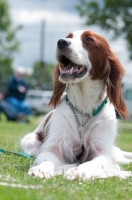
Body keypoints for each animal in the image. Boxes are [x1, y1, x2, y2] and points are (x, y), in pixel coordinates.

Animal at [20, 30, 132, 180]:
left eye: (89, 39)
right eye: (68, 37)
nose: (61, 42)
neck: (84, 106)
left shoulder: (102, 152)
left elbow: (94, 163)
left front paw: (79, 171)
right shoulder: (55, 147)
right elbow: (47, 159)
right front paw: (41, 169)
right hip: (29, 141)